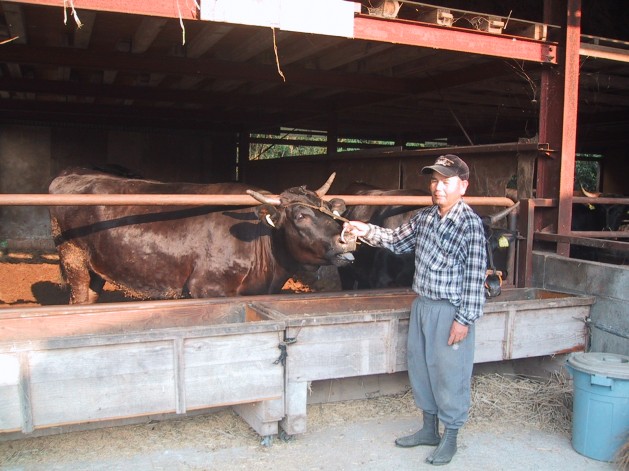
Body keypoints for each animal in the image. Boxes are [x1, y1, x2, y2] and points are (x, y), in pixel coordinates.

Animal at [47, 168, 356, 304]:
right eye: (301, 216)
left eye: (331, 211)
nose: (347, 238)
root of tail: (71, 174)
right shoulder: (206, 288)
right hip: (72, 257)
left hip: (95, 266)